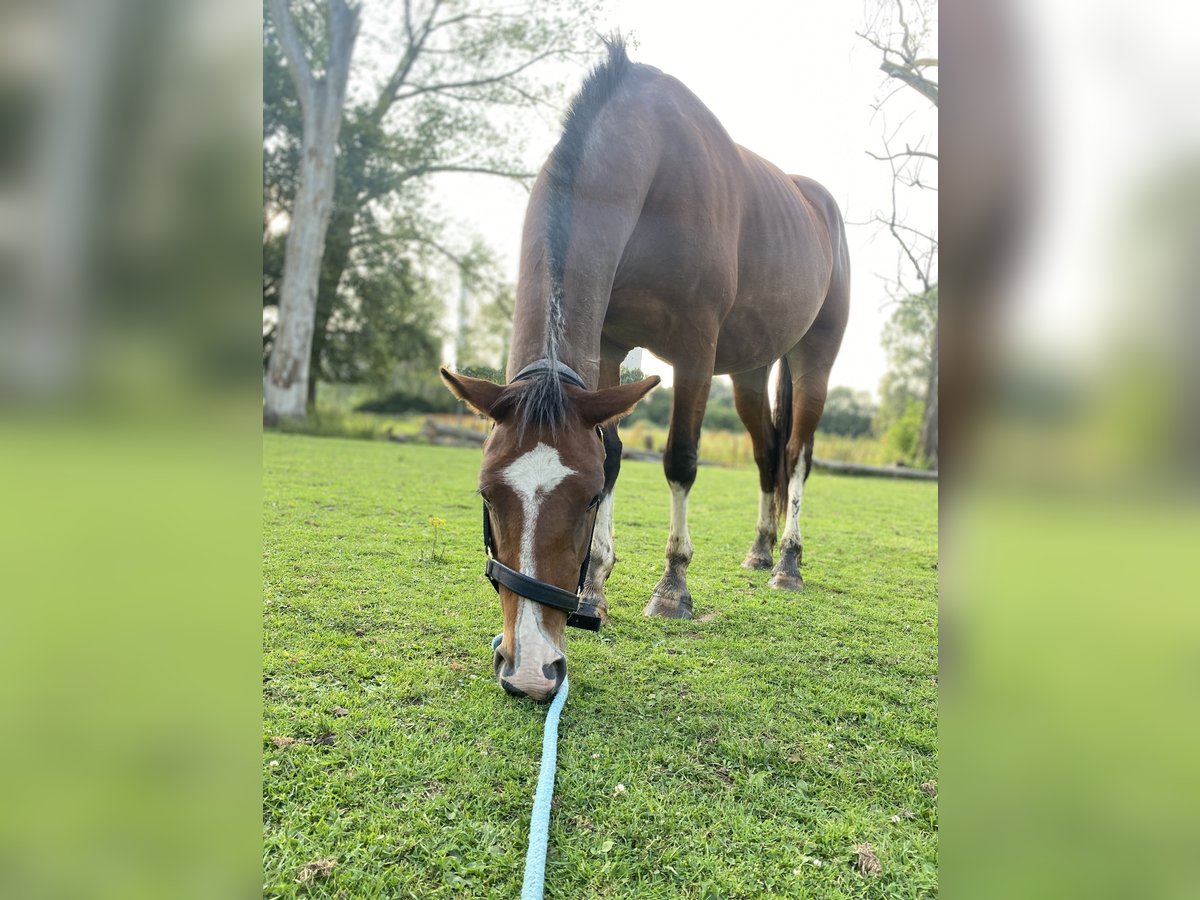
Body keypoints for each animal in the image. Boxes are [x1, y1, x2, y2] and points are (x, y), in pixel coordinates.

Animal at [444, 40, 854, 705]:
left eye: (584, 501)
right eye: (486, 494)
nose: (530, 668)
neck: (653, 166)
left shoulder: (694, 348)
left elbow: (679, 461)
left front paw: (672, 588)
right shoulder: (609, 345)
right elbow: (612, 453)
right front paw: (594, 588)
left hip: (813, 355)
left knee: (795, 455)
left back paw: (788, 562)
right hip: (752, 369)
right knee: (766, 454)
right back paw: (760, 551)